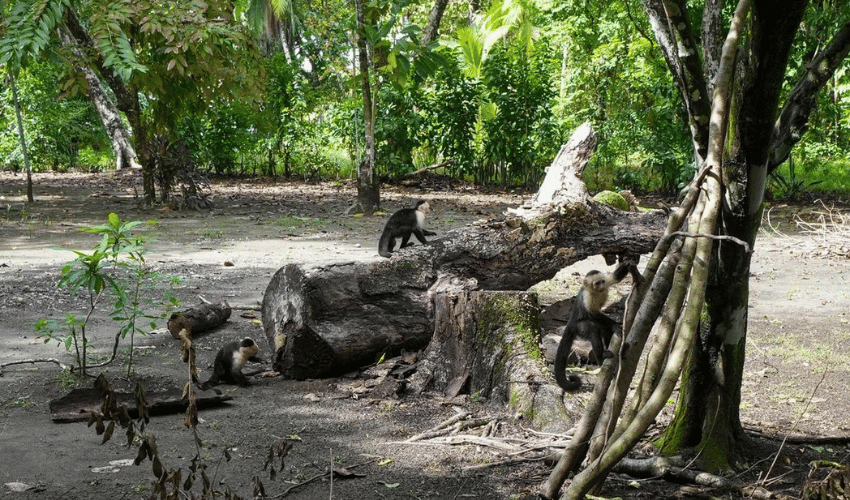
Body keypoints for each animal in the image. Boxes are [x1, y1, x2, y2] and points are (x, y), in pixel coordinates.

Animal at [552, 260, 640, 392]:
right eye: (597, 283)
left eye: (602, 282)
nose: (601, 287)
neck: (596, 291)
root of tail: (571, 321)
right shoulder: (587, 296)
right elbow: (592, 313)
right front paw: (614, 323)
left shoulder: (607, 280)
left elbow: (615, 277)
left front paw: (628, 263)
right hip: (580, 326)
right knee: (593, 330)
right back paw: (600, 358)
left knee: (606, 330)